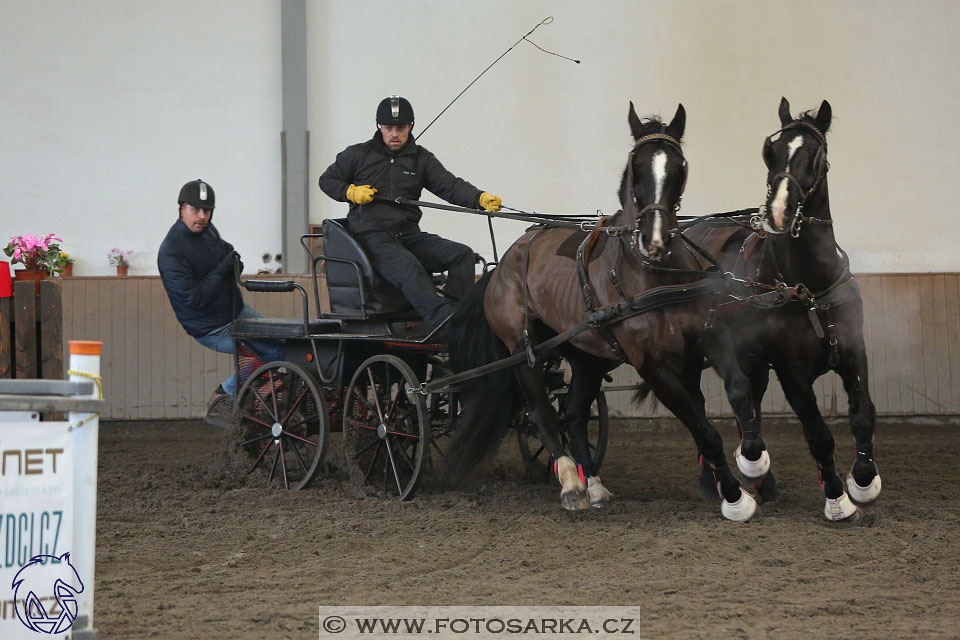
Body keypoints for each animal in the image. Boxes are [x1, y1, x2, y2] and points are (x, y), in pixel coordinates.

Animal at [446, 104, 760, 520]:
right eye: (637, 167)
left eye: (679, 166)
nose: (655, 240)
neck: (652, 274)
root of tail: (502, 265)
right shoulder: (653, 365)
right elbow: (701, 425)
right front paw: (735, 497)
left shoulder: (701, 346)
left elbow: (730, 396)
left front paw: (741, 467)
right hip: (524, 349)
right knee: (542, 414)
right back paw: (570, 484)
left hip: (585, 356)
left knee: (575, 413)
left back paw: (593, 484)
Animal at [688, 97, 880, 524]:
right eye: (771, 151)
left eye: (815, 153)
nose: (777, 213)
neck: (810, 289)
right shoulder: (792, 373)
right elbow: (819, 436)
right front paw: (837, 500)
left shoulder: (854, 352)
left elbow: (863, 414)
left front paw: (863, 480)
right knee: (724, 402)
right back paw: (728, 475)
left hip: (754, 359)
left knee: (750, 403)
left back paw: (759, 475)